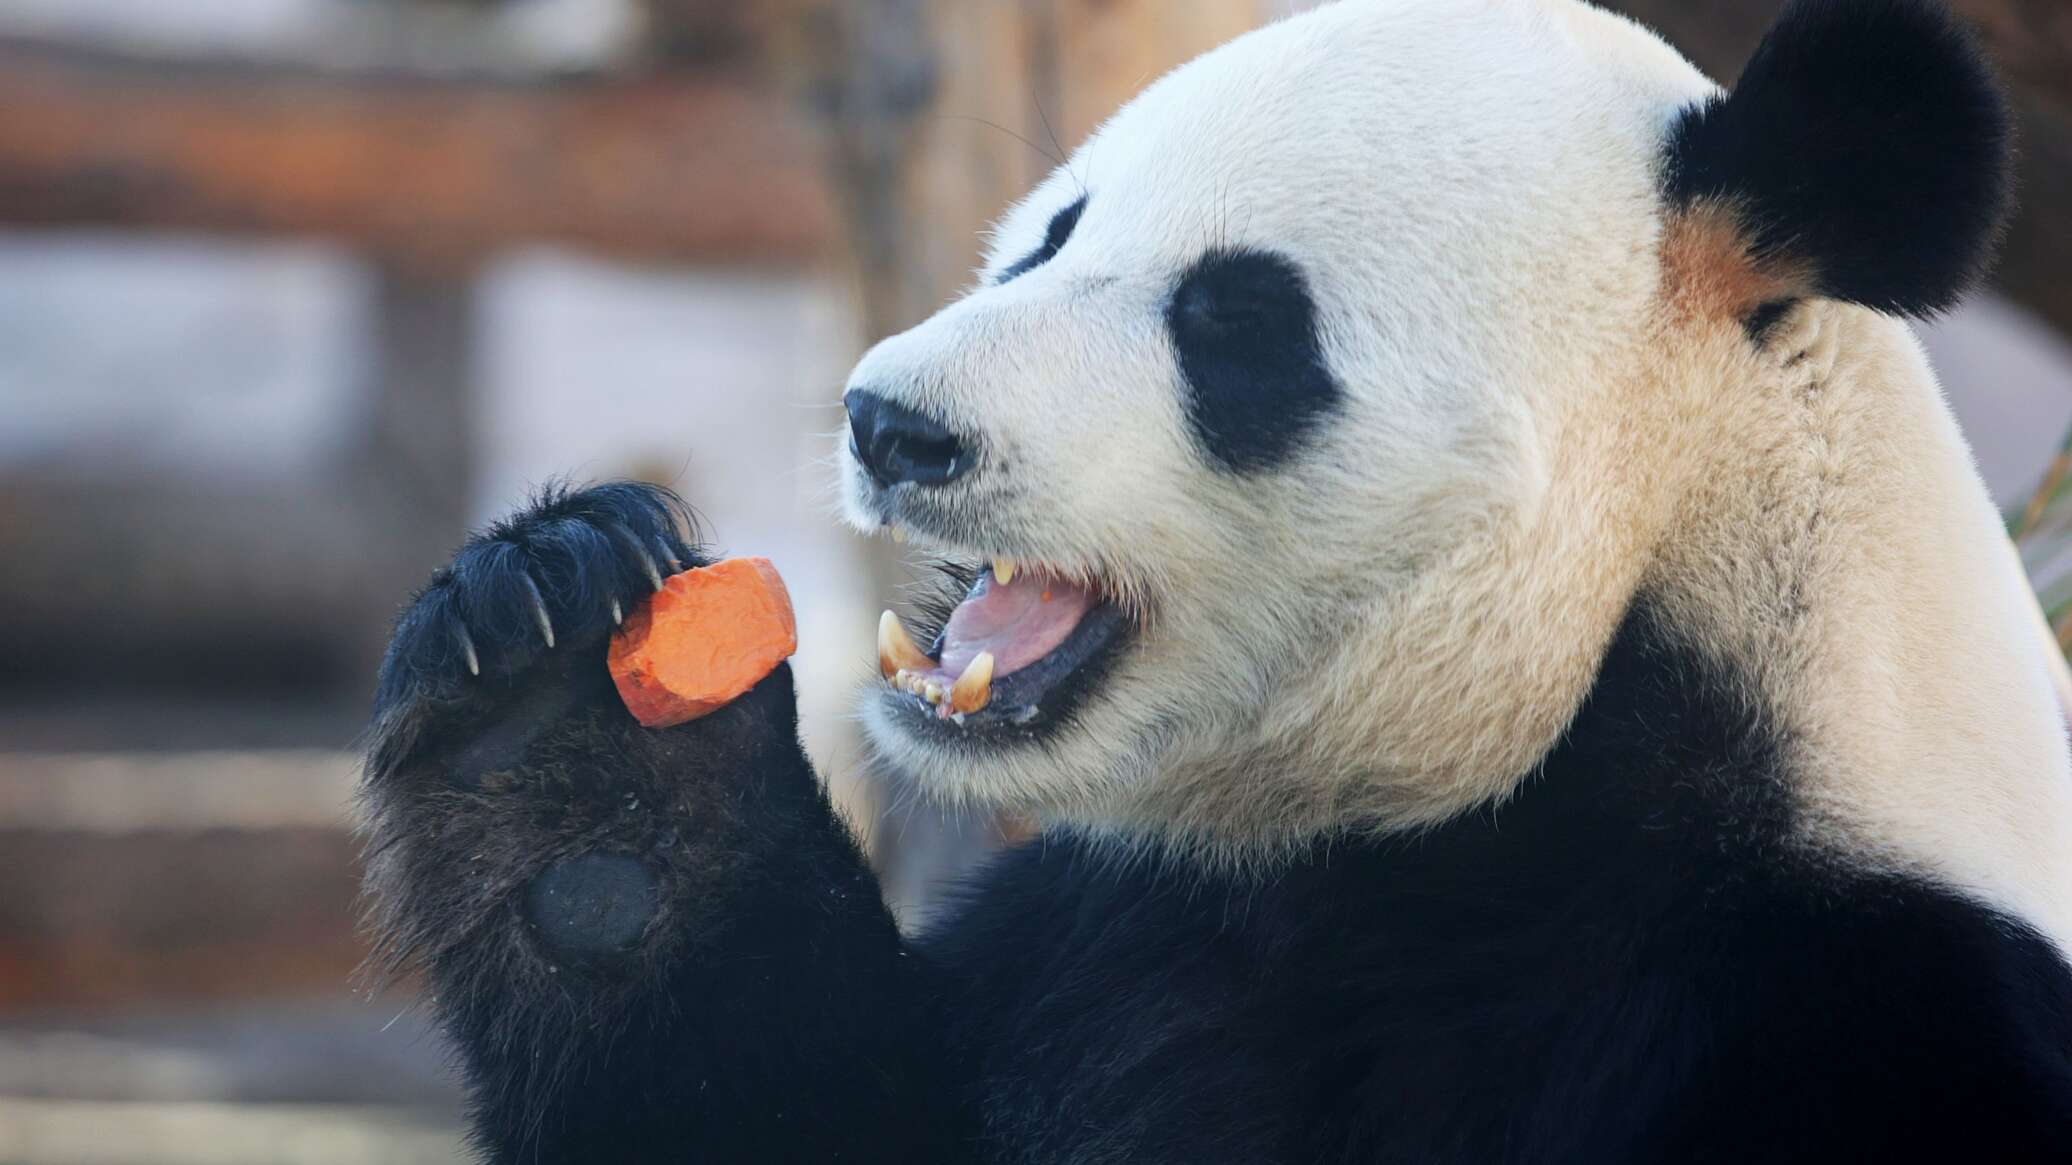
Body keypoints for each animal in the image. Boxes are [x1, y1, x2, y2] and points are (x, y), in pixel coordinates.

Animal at [356, 0, 2072, 1152]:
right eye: (1051, 233)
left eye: (1237, 321)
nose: (893, 424)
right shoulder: (1138, 937)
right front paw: (556, 698)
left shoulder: (1845, 1002)